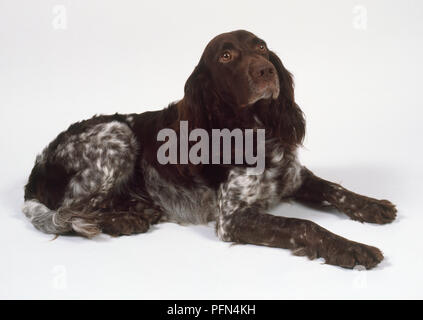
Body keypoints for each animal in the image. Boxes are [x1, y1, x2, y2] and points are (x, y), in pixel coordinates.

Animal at [22, 30, 398, 270]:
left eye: (262, 47)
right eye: (226, 55)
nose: (267, 70)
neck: (256, 132)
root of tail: (36, 168)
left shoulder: (293, 176)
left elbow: (336, 189)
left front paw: (372, 205)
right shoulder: (232, 218)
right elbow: (305, 226)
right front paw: (352, 248)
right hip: (117, 134)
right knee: (71, 212)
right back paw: (125, 218)